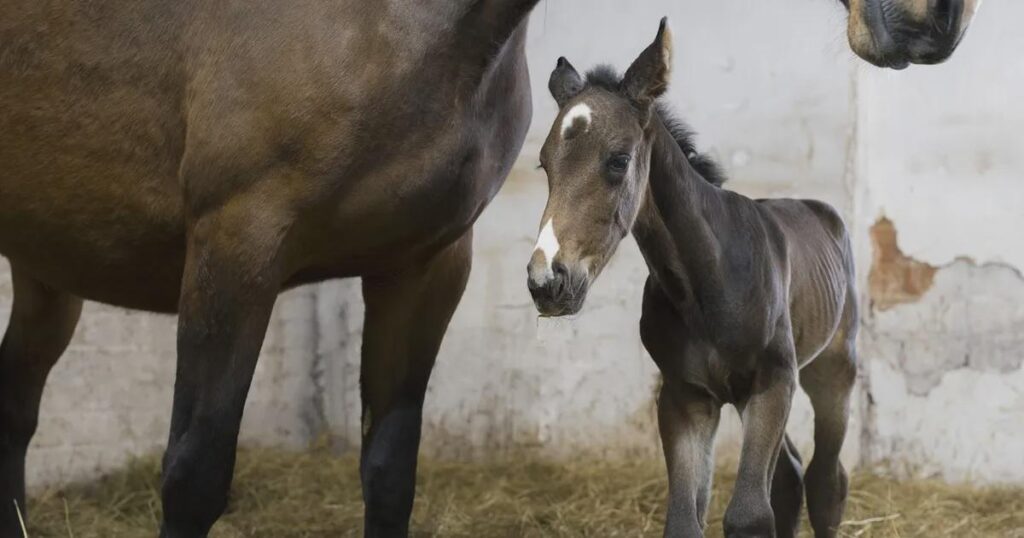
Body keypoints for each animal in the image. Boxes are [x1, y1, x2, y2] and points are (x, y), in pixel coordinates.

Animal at [527, 19, 858, 538]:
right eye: (545, 163)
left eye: (618, 160)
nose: (547, 281)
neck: (706, 279)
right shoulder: (685, 397)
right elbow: (686, 518)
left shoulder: (773, 381)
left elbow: (748, 514)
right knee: (789, 475)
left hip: (833, 368)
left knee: (826, 479)